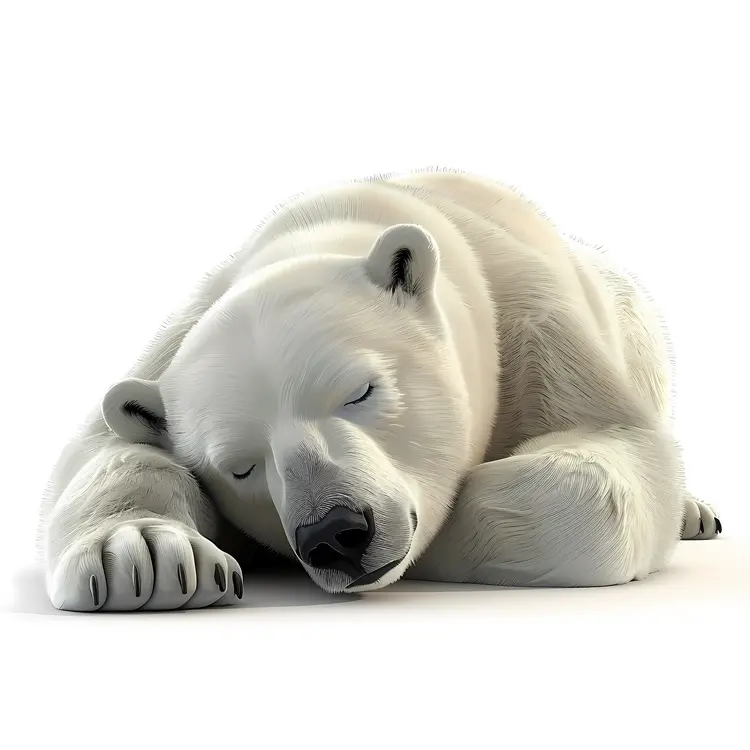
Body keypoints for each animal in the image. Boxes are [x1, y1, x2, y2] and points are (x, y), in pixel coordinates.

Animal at [38, 167, 721, 612]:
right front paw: (146, 554)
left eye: (361, 391)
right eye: (240, 466)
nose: (334, 533)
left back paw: (695, 512)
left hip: (630, 310)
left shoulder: (529, 321)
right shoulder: (173, 340)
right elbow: (105, 446)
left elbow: (611, 445)